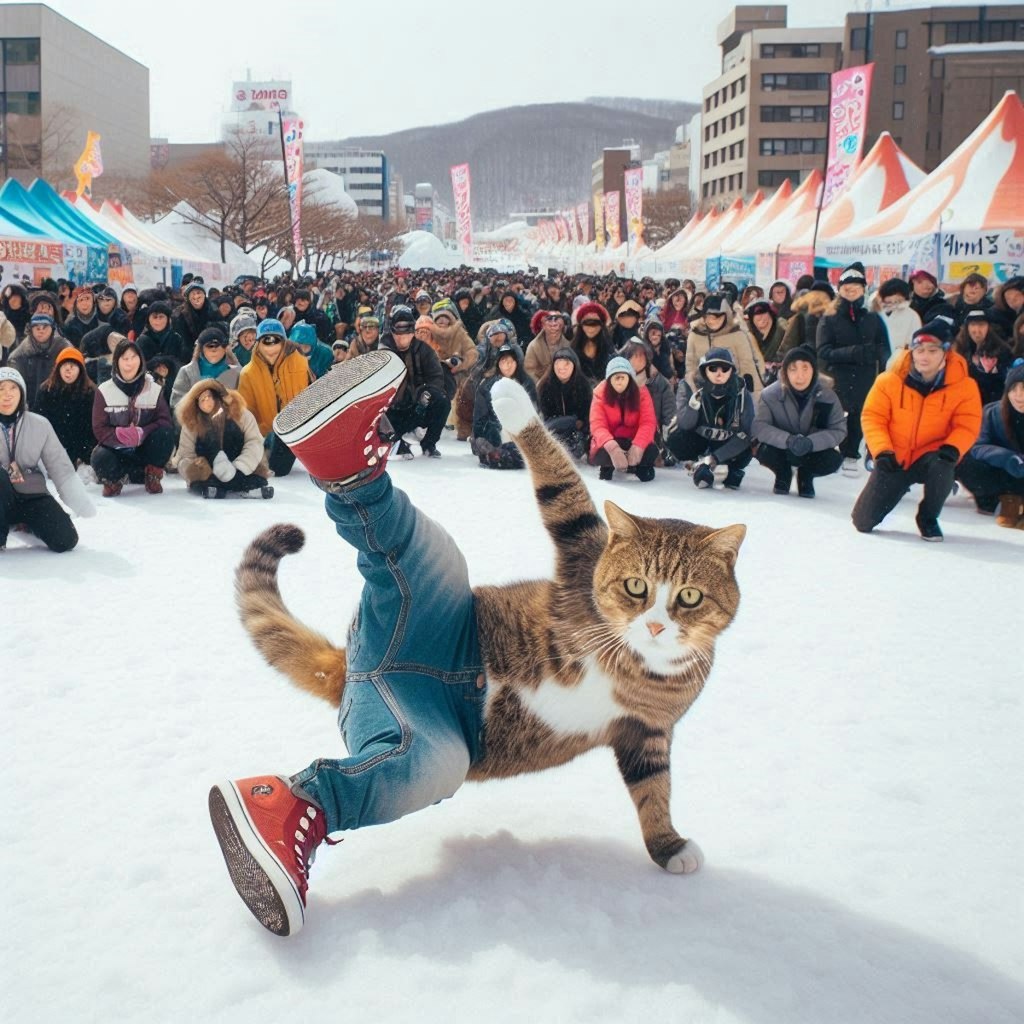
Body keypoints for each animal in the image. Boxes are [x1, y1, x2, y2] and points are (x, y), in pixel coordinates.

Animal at [237, 380, 745, 876]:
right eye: (636, 586)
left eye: (691, 596)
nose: (656, 625)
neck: (641, 662)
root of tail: (357, 668)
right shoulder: (580, 558)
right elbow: (565, 491)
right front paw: (514, 404)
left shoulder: (647, 731)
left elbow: (653, 789)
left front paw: (668, 846)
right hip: (425, 597)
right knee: (380, 518)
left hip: (416, 729)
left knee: (407, 766)